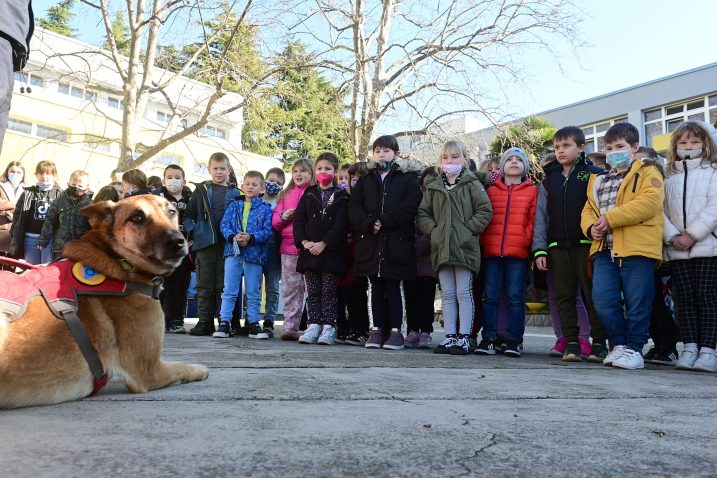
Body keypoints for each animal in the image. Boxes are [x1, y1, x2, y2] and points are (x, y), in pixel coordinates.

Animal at [0, 192, 207, 408]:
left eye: (172, 212)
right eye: (137, 218)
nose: (178, 241)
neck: (120, 262)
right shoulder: (149, 371)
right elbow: (186, 366)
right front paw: (200, 369)